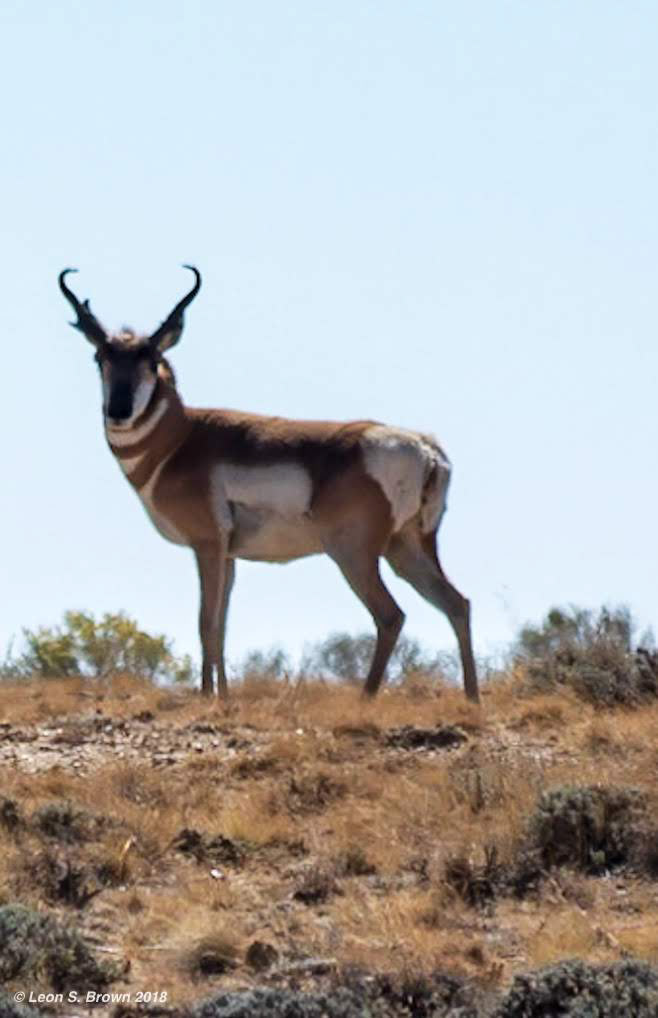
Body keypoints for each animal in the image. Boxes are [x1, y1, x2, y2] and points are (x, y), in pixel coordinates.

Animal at [58, 266, 479, 702]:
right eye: (101, 357)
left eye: (152, 358)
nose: (119, 410)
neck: (182, 440)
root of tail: (424, 446)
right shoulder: (229, 556)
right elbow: (222, 625)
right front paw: (224, 697)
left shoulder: (207, 546)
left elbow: (206, 622)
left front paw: (207, 697)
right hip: (408, 549)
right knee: (457, 603)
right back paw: (472, 698)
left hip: (353, 554)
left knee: (391, 615)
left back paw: (366, 698)